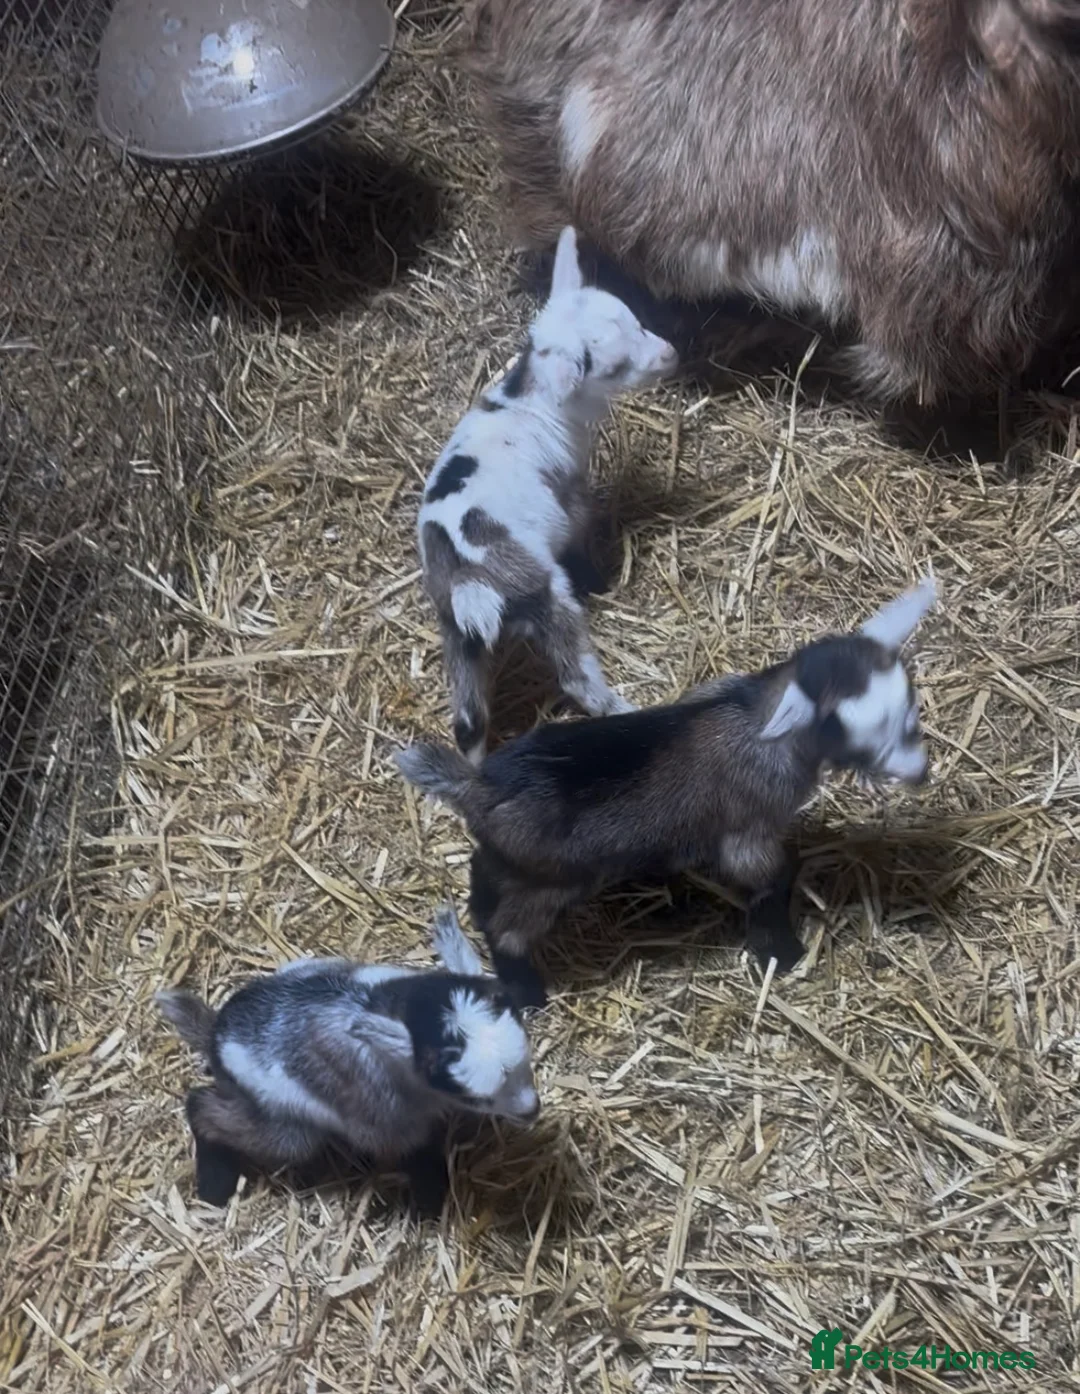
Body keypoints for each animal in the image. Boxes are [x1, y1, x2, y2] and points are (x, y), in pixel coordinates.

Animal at [154, 905, 540, 1216]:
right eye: (475, 1096)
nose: (531, 1110)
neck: (387, 1002)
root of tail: (216, 1034)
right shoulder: (388, 1125)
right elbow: (419, 1156)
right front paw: (429, 1205)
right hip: (288, 1128)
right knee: (201, 1106)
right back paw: (214, 1187)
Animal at [397, 579, 938, 1007]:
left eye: (909, 710)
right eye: (847, 729)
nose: (919, 772)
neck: (758, 720)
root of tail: (477, 785)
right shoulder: (747, 832)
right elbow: (771, 878)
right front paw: (783, 953)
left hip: (510, 863)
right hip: (547, 880)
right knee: (507, 929)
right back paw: (527, 994)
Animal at [418, 224, 677, 765]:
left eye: (638, 322)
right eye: (615, 366)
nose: (671, 355)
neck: (529, 401)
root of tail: (469, 578)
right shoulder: (570, 496)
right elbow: (580, 533)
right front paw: (600, 579)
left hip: (456, 632)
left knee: (468, 720)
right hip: (545, 598)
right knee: (578, 679)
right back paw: (624, 710)